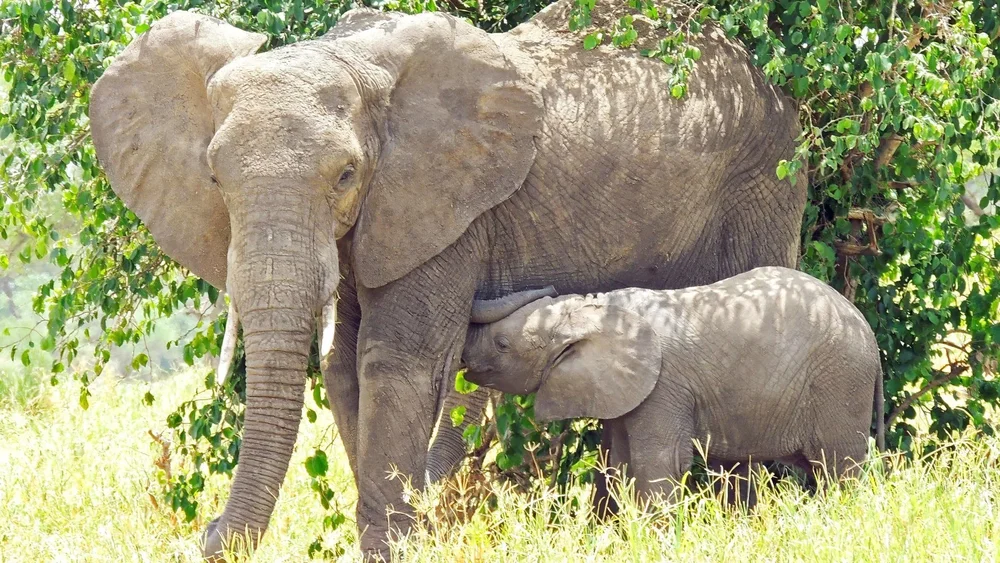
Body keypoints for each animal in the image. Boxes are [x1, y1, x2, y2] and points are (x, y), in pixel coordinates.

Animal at [87, 0, 807, 557]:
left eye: (346, 174)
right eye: (214, 178)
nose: (209, 535)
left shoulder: (448, 207)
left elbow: (392, 358)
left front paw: (388, 548)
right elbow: (344, 366)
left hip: (765, 180)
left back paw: (741, 516)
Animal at [461, 267, 886, 507]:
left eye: (502, 344)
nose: (548, 286)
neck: (591, 312)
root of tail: (869, 334)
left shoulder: (663, 388)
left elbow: (658, 464)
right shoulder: (626, 389)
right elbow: (620, 463)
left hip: (841, 382)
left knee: (838, 468)